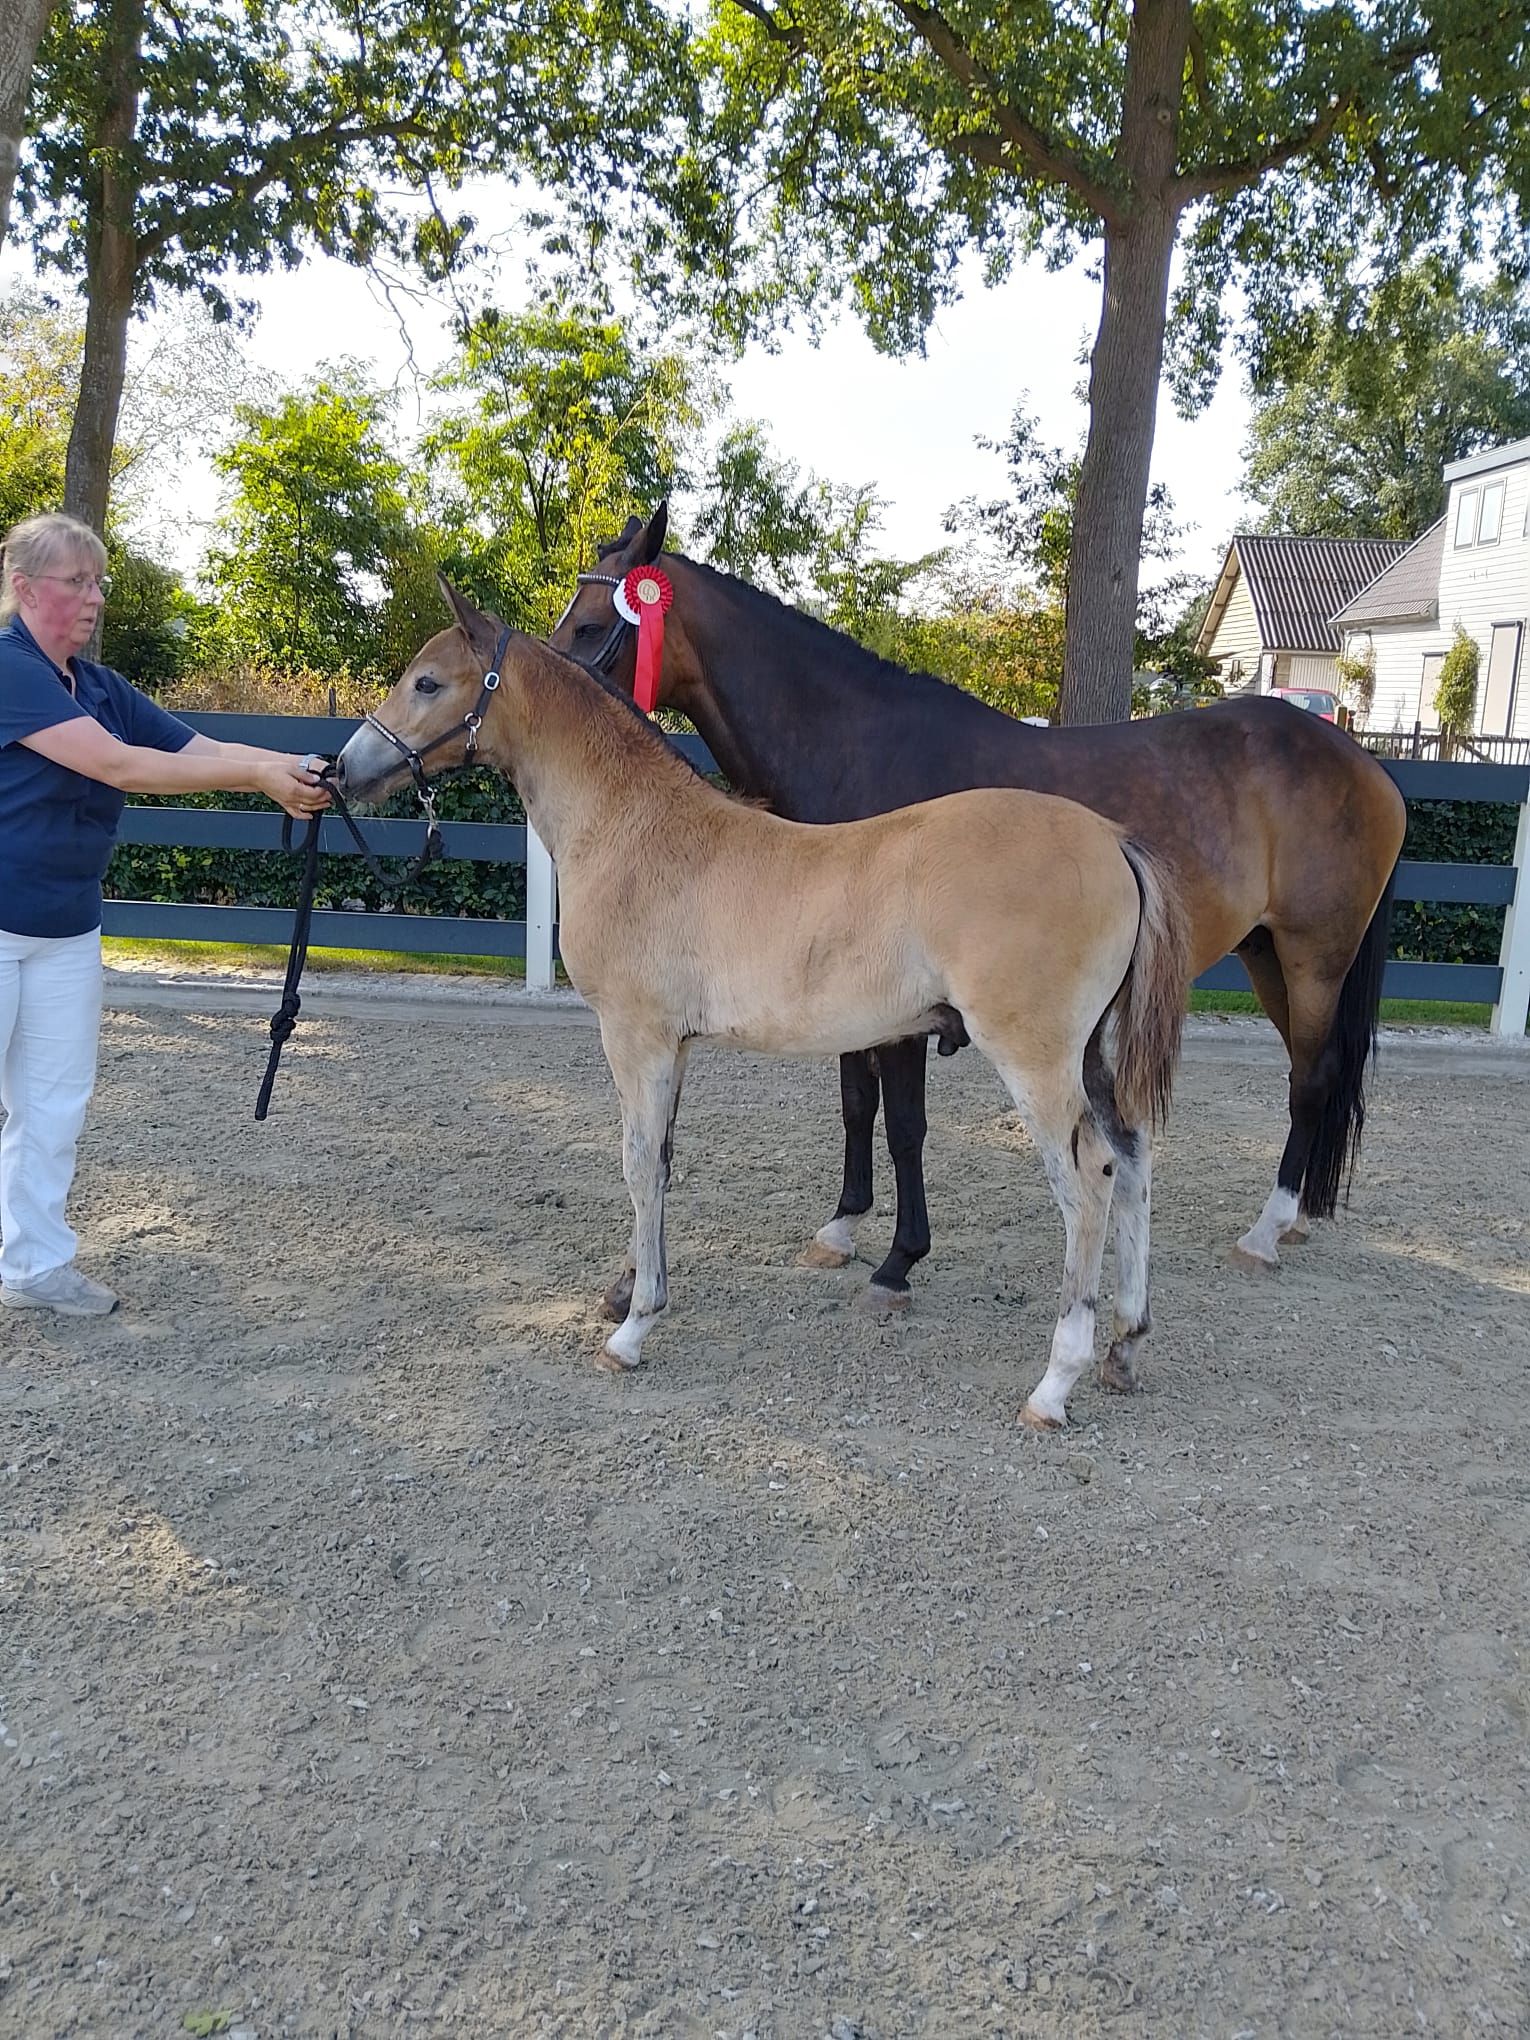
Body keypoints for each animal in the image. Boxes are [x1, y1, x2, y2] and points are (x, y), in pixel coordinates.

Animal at [335, 582, 1191, 1430]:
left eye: (427, 682)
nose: (344, 769)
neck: (635, 830)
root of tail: (1113, 841)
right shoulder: (674, 1045)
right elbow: (662, 1160)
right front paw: (630, 1291)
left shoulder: (634, 1035)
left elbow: (637, 1163)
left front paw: (633, 1329)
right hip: (1091, 1054)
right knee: (1134, 1154)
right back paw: (1126, 1345)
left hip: (1035, 1060)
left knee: (1087, 1183)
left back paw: (1056, 1383)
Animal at [550, 506, 1407, 1309]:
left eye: (591, 626)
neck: (858, 749)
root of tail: (1365, 763)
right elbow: (856, 1104)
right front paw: (843, 1227)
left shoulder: (902, 1011)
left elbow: (904, 1125)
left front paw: (899, 1261)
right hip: (1266, 955)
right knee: (1312, 1073)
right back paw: (1296, 1218)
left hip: (1314, 957)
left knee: (1313, 1077)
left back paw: (1267, 1228)